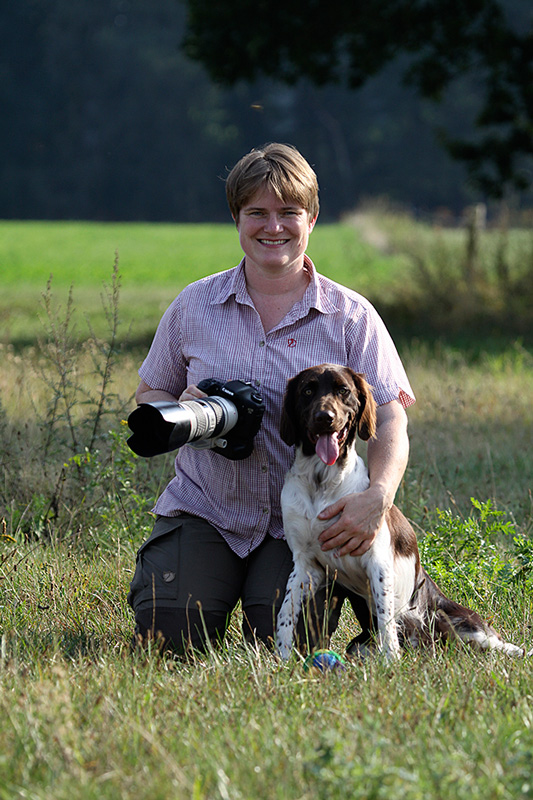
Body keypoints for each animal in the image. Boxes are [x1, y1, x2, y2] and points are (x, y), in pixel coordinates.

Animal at [274, 364, 528, 664]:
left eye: (343, 390)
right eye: (307, 390)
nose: (325, 417)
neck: (321, 483)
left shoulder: (377, 561)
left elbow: (385, 618)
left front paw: (390, 662)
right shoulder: (306, 565)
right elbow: (284, 611)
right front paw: (281, 657)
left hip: (463, 624)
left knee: (498, 643)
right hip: (360, 645)